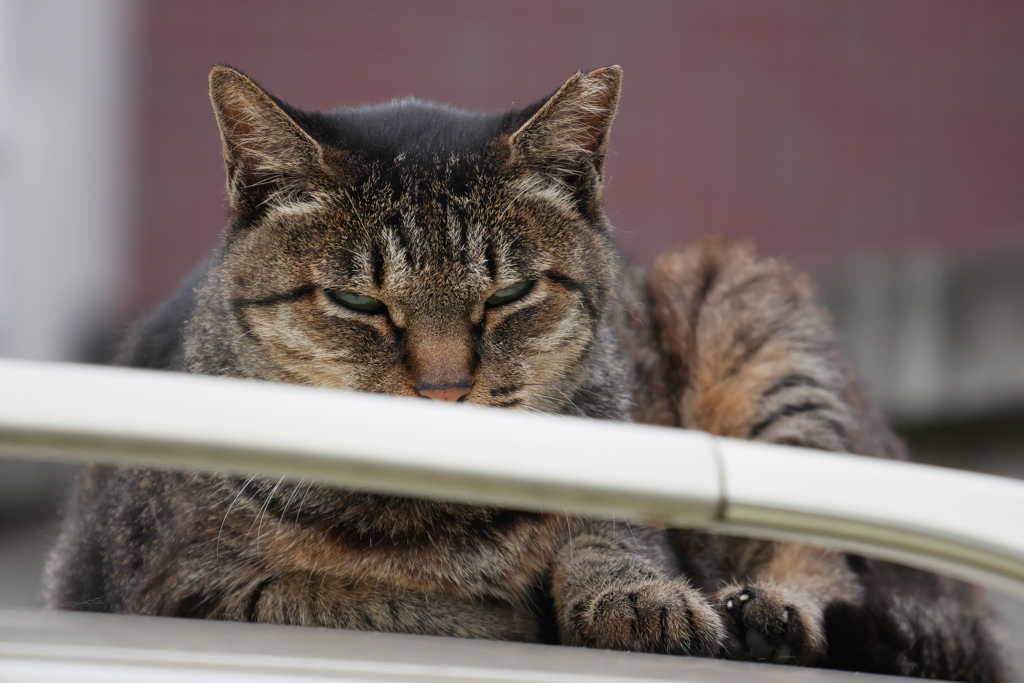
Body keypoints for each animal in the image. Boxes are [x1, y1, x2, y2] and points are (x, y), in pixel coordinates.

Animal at [41, 65, 1007, 683]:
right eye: (357, 300)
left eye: (507, 292)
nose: (443, 387)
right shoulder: (148, 583)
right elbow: (329, 593)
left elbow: (609, 539)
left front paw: (639, 598)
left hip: (754, 324)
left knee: (840, 575)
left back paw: (769, 613)